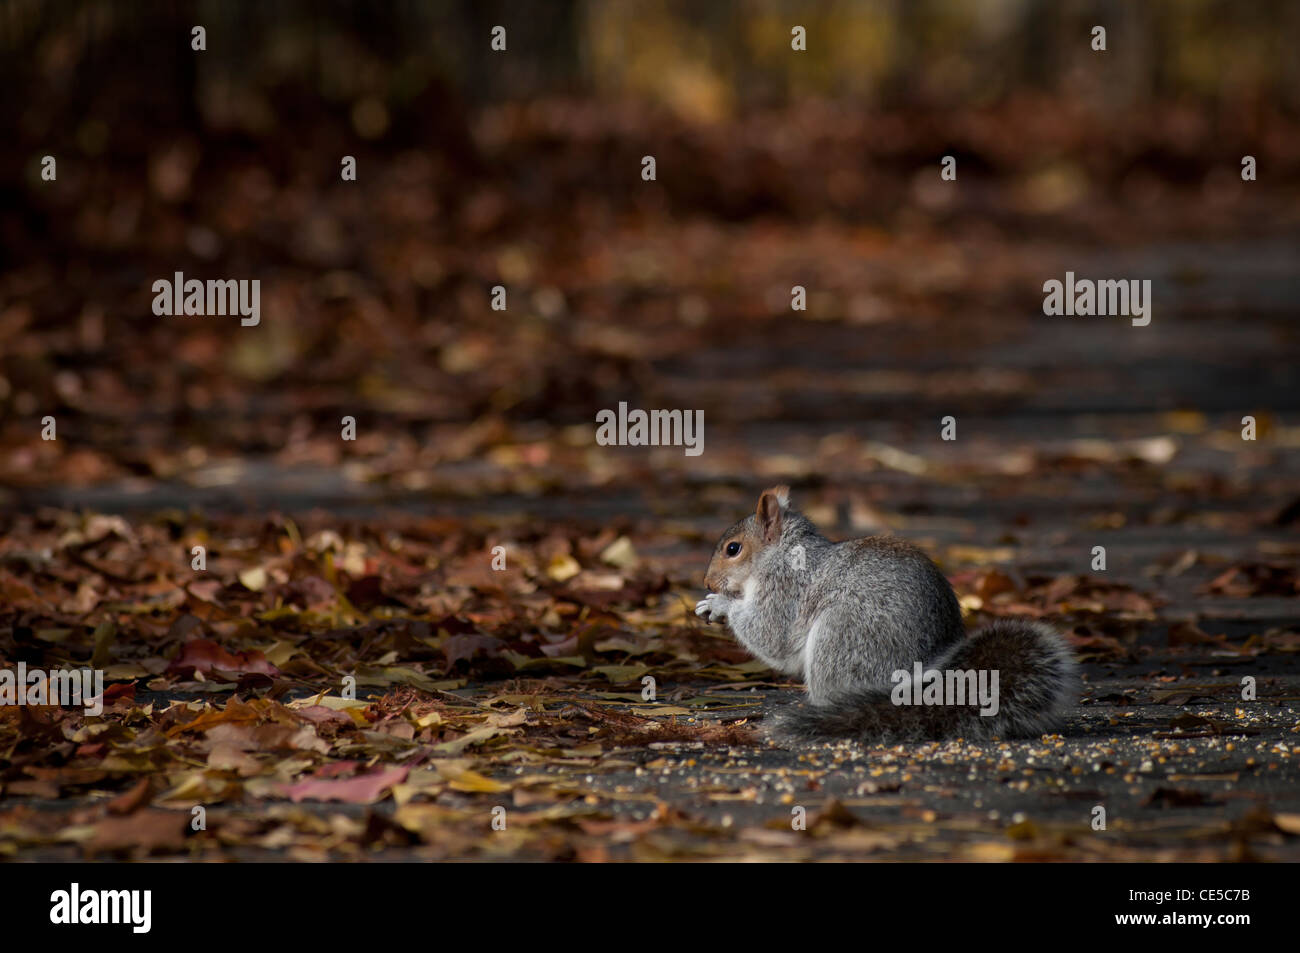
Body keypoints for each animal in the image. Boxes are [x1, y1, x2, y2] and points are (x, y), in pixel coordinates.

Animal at [696, 486, 1077, 745]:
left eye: (733, 549)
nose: (707, 581)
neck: (783, 554)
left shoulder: (786, 589)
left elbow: (772, 635)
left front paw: (719, 604)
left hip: (843, 636)